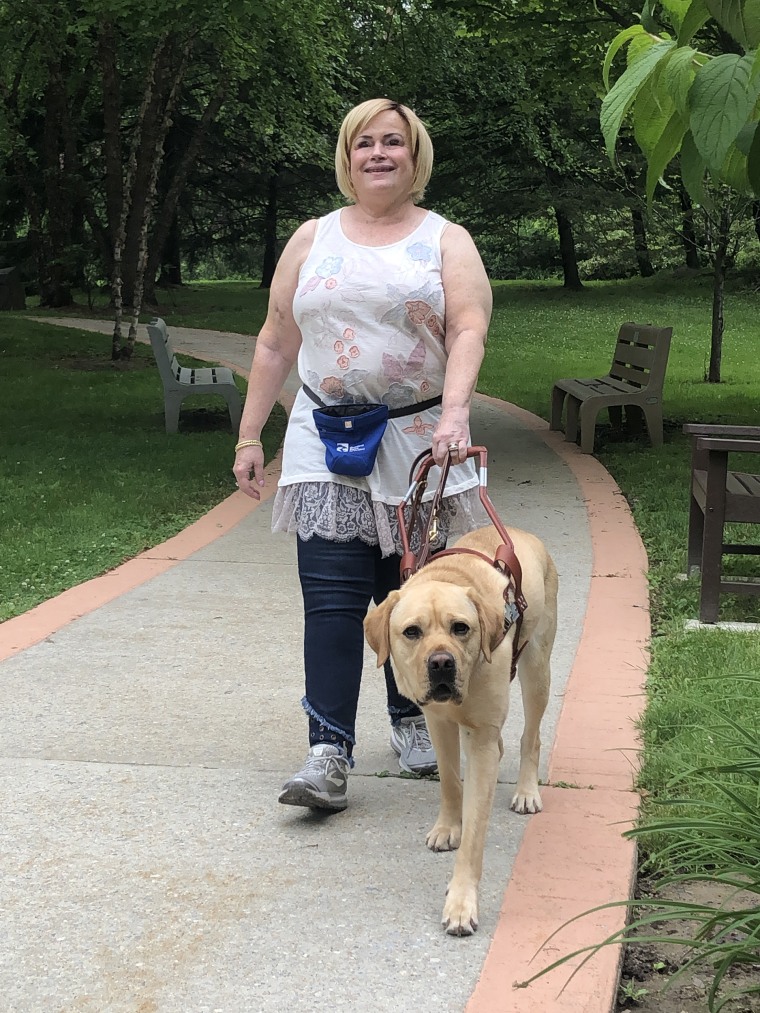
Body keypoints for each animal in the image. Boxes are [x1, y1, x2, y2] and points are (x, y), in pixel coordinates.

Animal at [364, 526, 559, 936]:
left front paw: (461, 902)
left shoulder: (480, 737)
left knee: (530, 738)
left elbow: (474, 834)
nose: (441, 662)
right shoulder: (438, 722)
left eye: (461, 628)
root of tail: (522, 533)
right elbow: (451, 782)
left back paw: (526, 791)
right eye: (412, 631)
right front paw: (447, 826)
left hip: (536, 667)